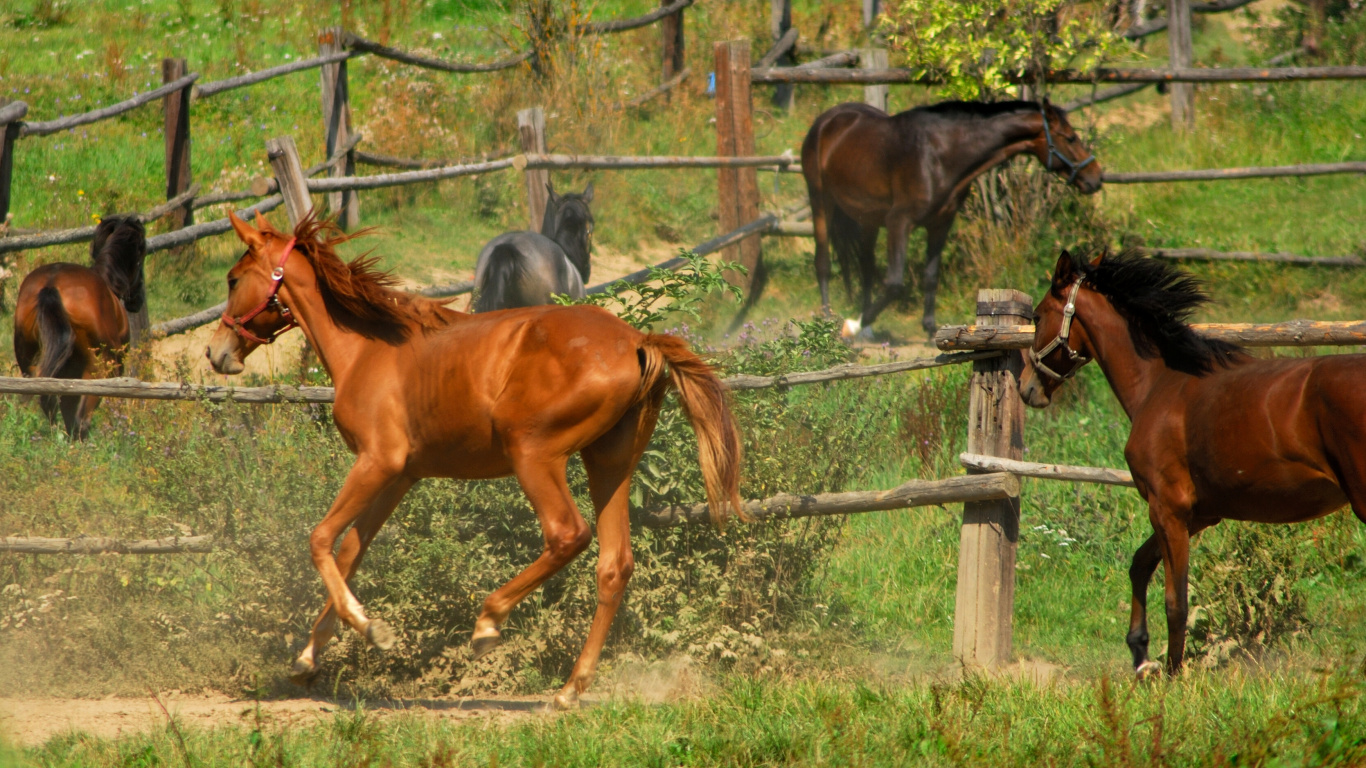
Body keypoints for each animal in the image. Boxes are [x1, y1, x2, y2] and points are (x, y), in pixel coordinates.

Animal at [13, 215, 146, 438]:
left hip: (30, 362)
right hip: (97, 372)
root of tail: (52, 284)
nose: (138, 300)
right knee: (81, 420)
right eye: (142, 253)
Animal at [205, 211, 741, 710]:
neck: (366, 350)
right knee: (614, 565)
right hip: (610, 464)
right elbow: (350, 551)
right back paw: (569, 690)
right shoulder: (400, 476)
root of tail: (637, 341)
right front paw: (308, 658)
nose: (215, 352)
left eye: (232, 279)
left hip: (534, 454)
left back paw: (489, 623)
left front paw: (370, 628)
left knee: (568, 534)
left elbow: (319, 539)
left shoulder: (377, 463)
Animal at [801, 100, 1103, 336]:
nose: (1096, 177)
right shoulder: (899, 222)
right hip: (821, 201)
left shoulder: (940, 224)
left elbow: (930, 276)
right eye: (1070, 138)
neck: (940, 153)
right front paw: (851, 326)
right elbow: (894, 283)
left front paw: (929, 328)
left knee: (864, 266)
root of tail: (826, 120)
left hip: (867, 219)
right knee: (823, 262)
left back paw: (867, 328)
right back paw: (831, 319)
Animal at [1020, 248, 1366, 676]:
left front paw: (1171, 673)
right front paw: (1140, 653)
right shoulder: (1199, 513)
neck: (1159, 383)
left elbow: (1176, 601)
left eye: (1037, 317)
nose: (1027, 388)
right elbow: (1139, 564)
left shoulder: (1167, 509)